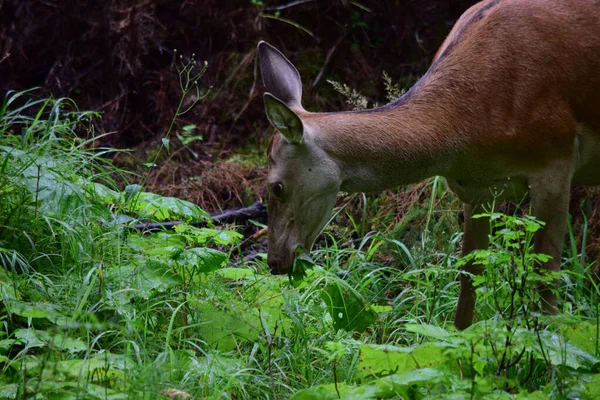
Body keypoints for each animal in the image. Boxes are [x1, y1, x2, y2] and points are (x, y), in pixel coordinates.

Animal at [258, 0, 600, 332]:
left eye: (276, 186)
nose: (274, 261)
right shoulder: (476, 190)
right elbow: (467, 280)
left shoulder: (556, 159)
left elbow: (546, 281)